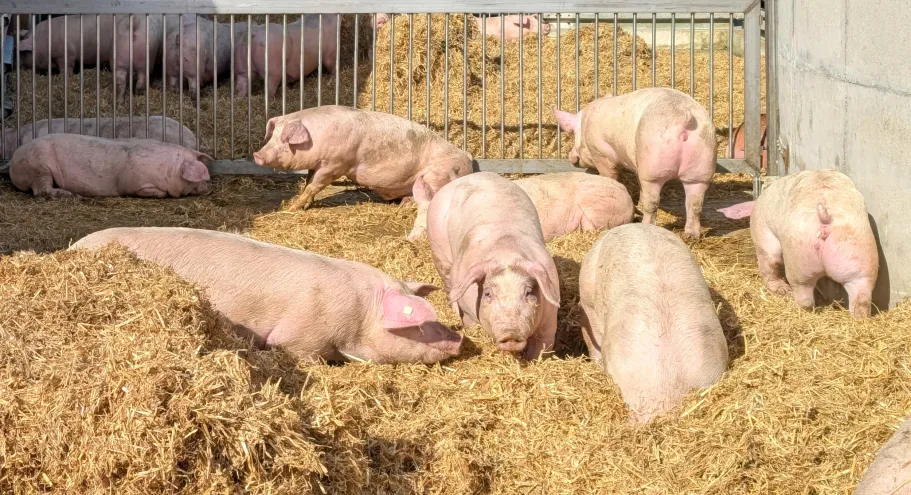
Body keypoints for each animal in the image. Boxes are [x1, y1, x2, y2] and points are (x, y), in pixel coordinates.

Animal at [10, 134, 212, 198]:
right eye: (199, 177)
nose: (208, 187)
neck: (170, 170)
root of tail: (12, 160)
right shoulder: (136, 184)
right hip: (39, 167)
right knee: (40, 191)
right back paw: (69, 195)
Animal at [252, 105, 474, 241]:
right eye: (272, 136)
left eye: (285, 139)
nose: (257, 155)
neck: (319, 138)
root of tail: (468, 160)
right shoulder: (319, 164)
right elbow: (308, 182)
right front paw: (305, 205)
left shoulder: (336, 164)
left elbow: (315, 185)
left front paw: (291, 208)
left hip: (435, 176)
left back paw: (406, 206)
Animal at [425, 172, 560, 360]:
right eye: (488, 293)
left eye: (528, 292)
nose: (510, 333)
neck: (506, 253)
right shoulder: (468, 310)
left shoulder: (550, 318)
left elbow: (542, 348)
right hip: (439, 249)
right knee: (448, 284)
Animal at [554, 87, 717, 240]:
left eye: (573, 133)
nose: (571, 157)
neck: (585, 124)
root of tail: (684, 117)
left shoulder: (600, 152)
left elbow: (610, 174)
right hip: (701, 164)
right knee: (695, 204)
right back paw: (691, 236)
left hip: (653, 165)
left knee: (653, 202)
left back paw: (647, 224)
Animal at [719, 169, 879, 317]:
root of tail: (826, 220)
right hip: (861, 254)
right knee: (862, 297)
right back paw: (859, 317)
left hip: (798, 259)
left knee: (793, 285)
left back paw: (791, 297)